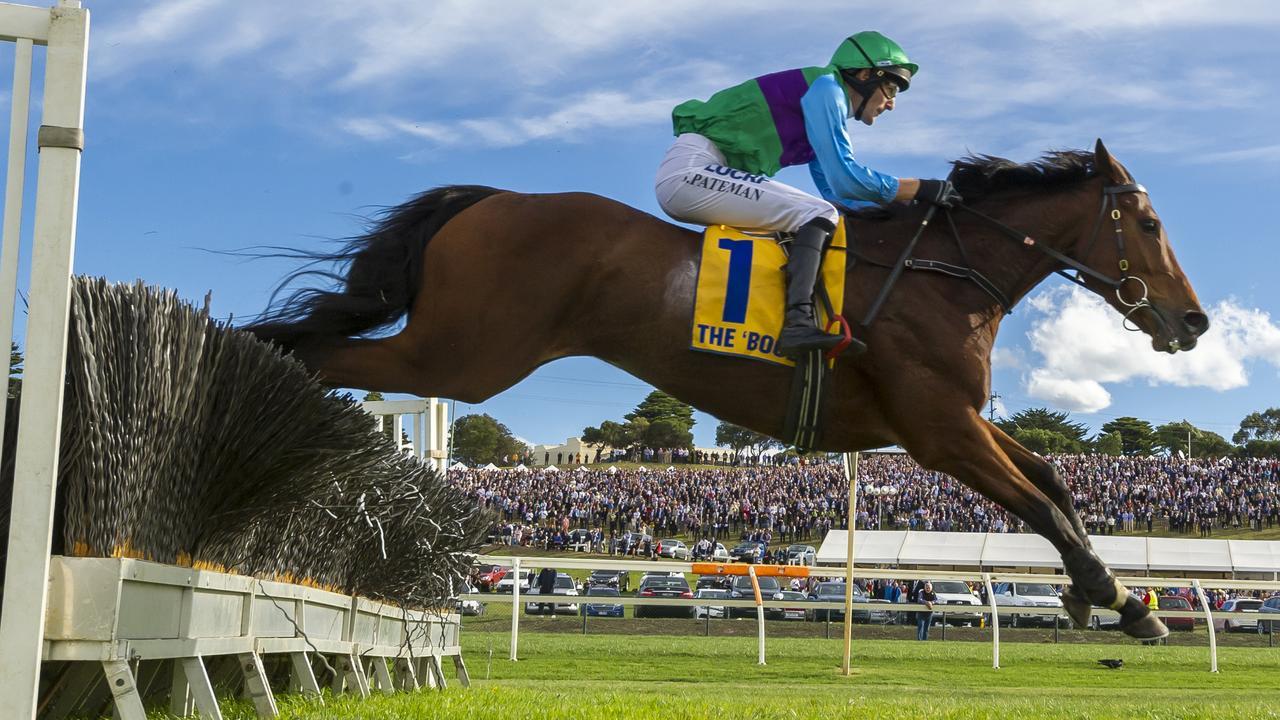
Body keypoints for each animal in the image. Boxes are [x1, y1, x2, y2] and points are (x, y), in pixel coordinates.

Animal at [249, 139, 1208, 632]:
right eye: (1149, 221)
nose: (1193, 322)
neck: (943, 270)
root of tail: (486, 200)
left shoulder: (956, 418)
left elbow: (1051, 482)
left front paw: (1112, 597)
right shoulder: (937, 428)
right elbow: (1040, 500)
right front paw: (1116, 595)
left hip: (452, 352)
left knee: (307, 349)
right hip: (458, 357)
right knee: (305, 354)